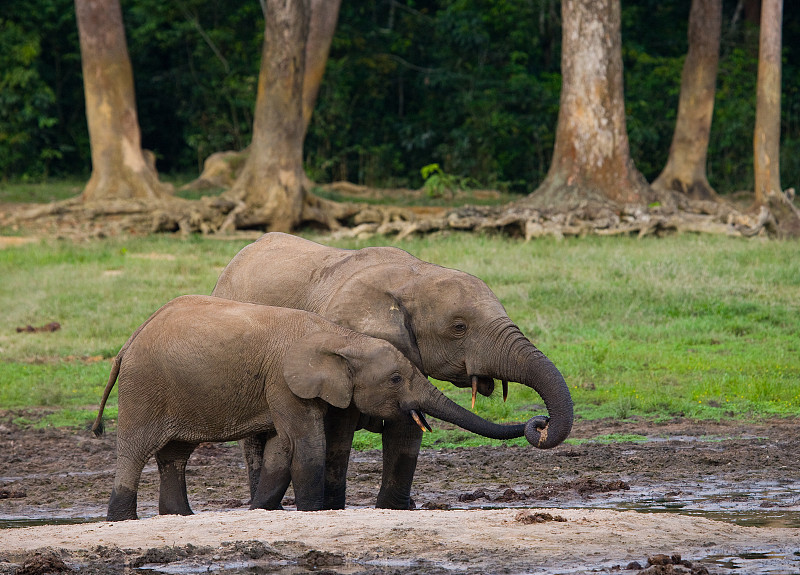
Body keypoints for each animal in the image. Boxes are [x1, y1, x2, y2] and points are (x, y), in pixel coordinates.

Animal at [94, 296, 528, 520]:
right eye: (394, 379)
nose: (535, 424)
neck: (341, 337)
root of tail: (127, 344)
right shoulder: (284, 382)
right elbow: (306, 445)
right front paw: (310, 512)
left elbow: (282, 448)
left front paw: (261, 510)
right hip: (144, 388)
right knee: (135, 450)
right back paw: (121, 519)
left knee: (175, 455)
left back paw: (179, 517)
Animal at [211, 232, 576, 510]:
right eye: (459, 327)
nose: (540, 423)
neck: (413, 277)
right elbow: (337, 438)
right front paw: (332, 510)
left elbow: (406, 431)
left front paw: (394, 509)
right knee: (256, 443)